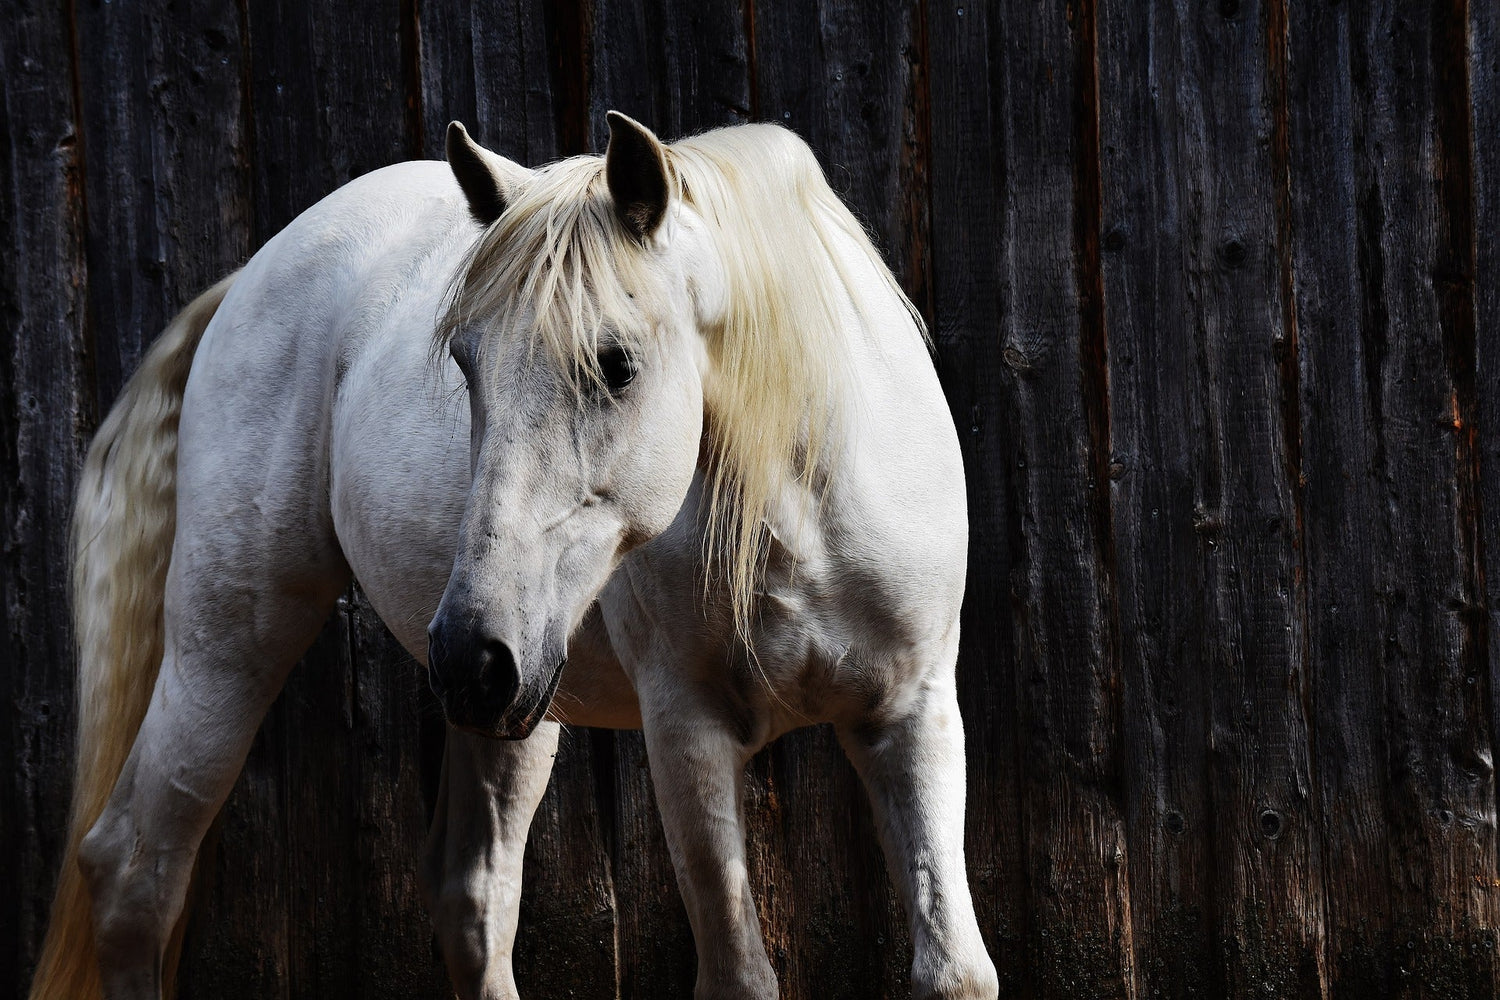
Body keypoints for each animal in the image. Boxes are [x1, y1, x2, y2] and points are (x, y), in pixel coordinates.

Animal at [30, 112, 998, 1000]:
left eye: (617, 364)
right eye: (464, 361)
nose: (469, 652)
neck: (797, 511)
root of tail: (254, 274)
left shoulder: (912, 717)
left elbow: (954, 970)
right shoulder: (688, 733)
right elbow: (740, 977)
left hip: (512, 707)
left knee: (473, 898)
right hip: (238, 645)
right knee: (135, 870)